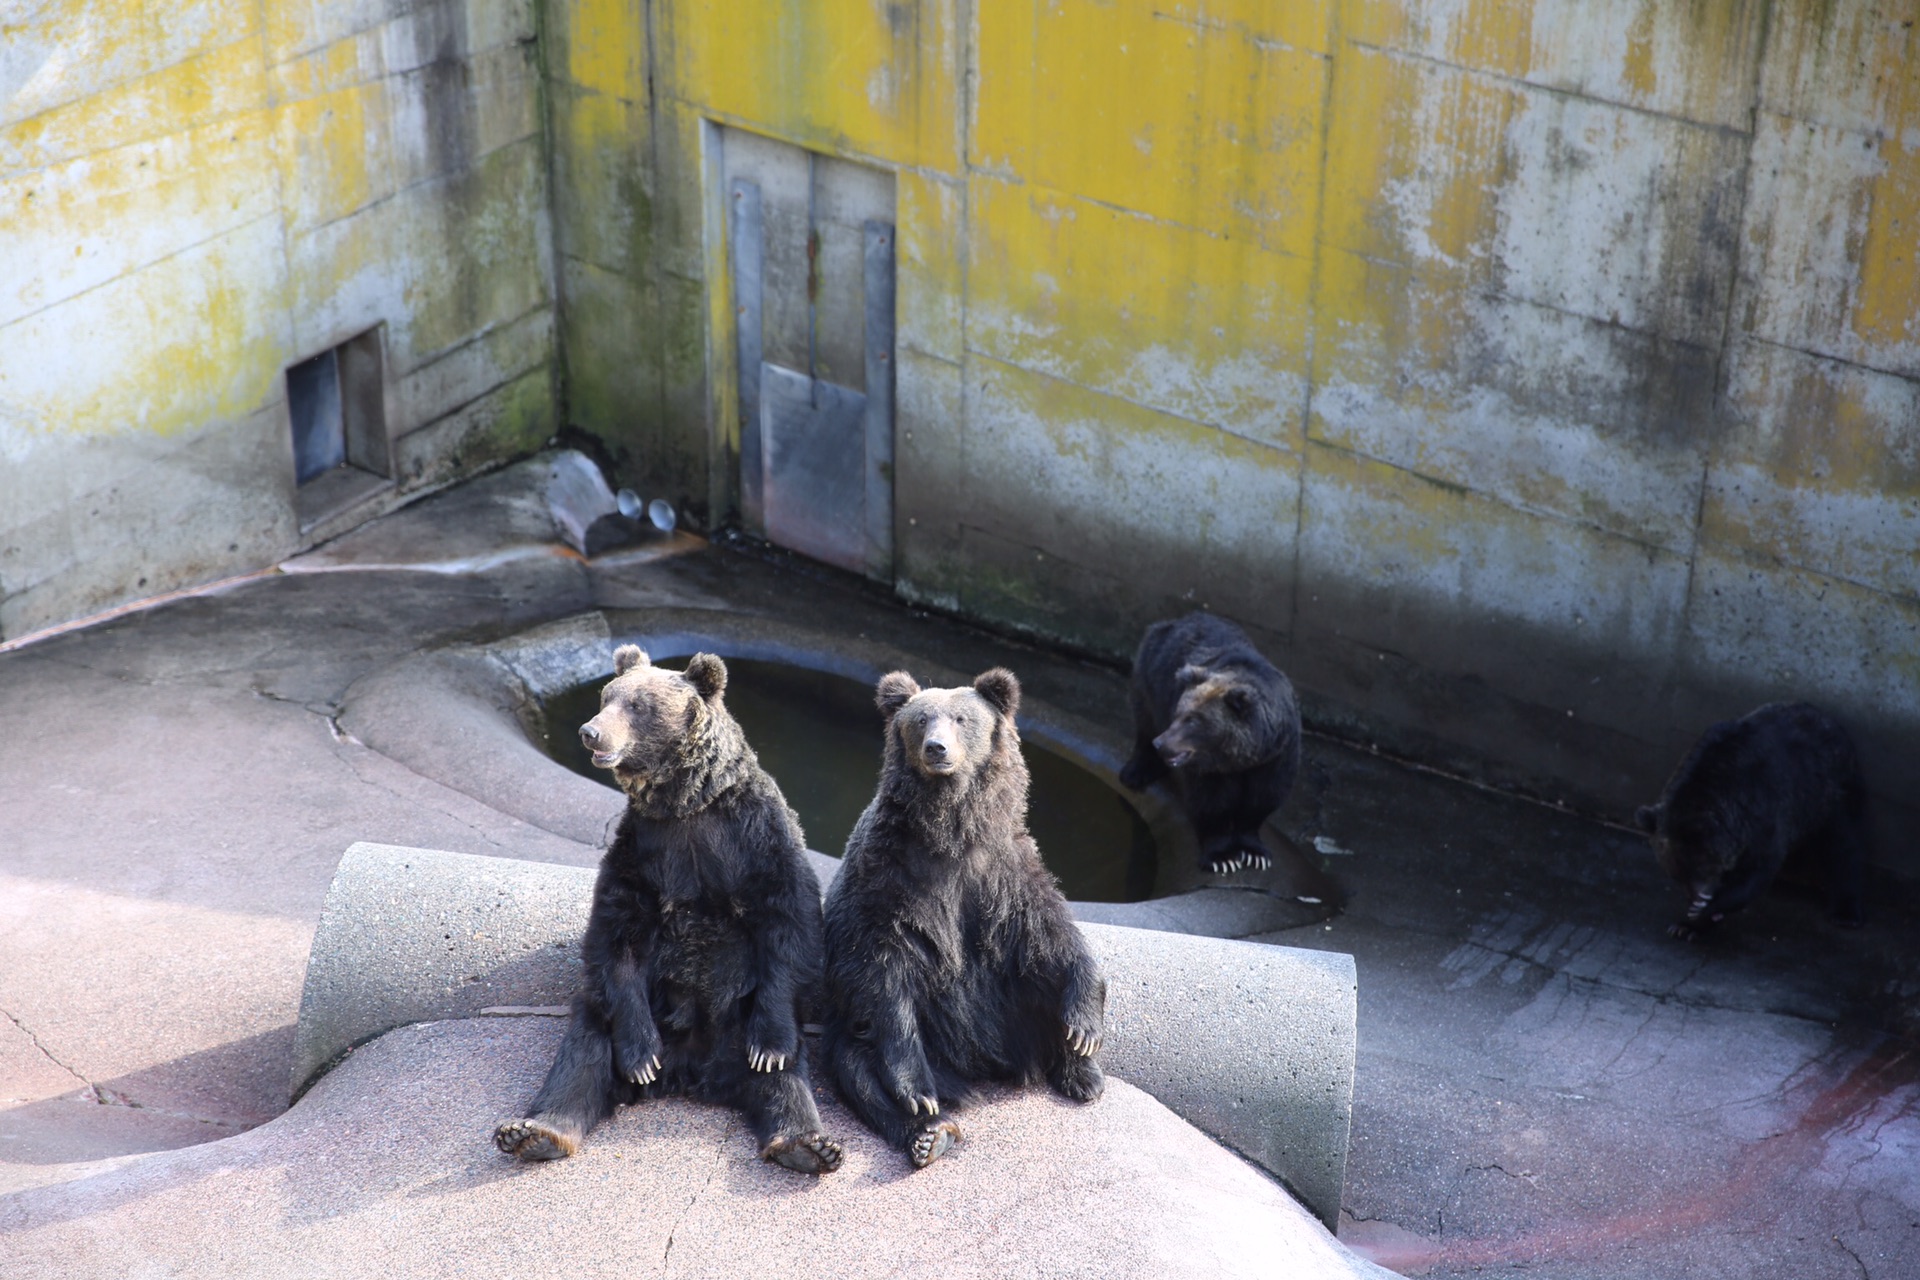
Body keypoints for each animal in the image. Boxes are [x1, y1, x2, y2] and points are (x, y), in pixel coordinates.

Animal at [499, 644, 844, 1174]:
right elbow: (615, 934)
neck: (684, 806)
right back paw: (536, 1131)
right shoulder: (640, 853)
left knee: (783, 1081)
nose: (590, 731)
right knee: (584, 1051)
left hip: (738, 1018)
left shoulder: (756, 840)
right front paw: (641, 1057)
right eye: (606, 696)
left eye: (638, 705)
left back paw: (806, 1143)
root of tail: (693, 1074)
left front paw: (771, 1046)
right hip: (627, 1011)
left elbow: (789, 920)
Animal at [817, 671, 1105, 1174]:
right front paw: (917, 1095)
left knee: (1040, 989)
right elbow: (879, 967)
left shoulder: (1004, 872)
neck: (952, 831)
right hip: (879, 1031)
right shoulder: (888, 876)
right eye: (920, 719)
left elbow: (1051, 936)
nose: (937, 749)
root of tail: (979, 1069)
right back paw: (930, 1132)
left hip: (1013, 1012)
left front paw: (1085, 1028)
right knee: (856, 1065)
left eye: (961, 718)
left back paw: (1084, 1075)